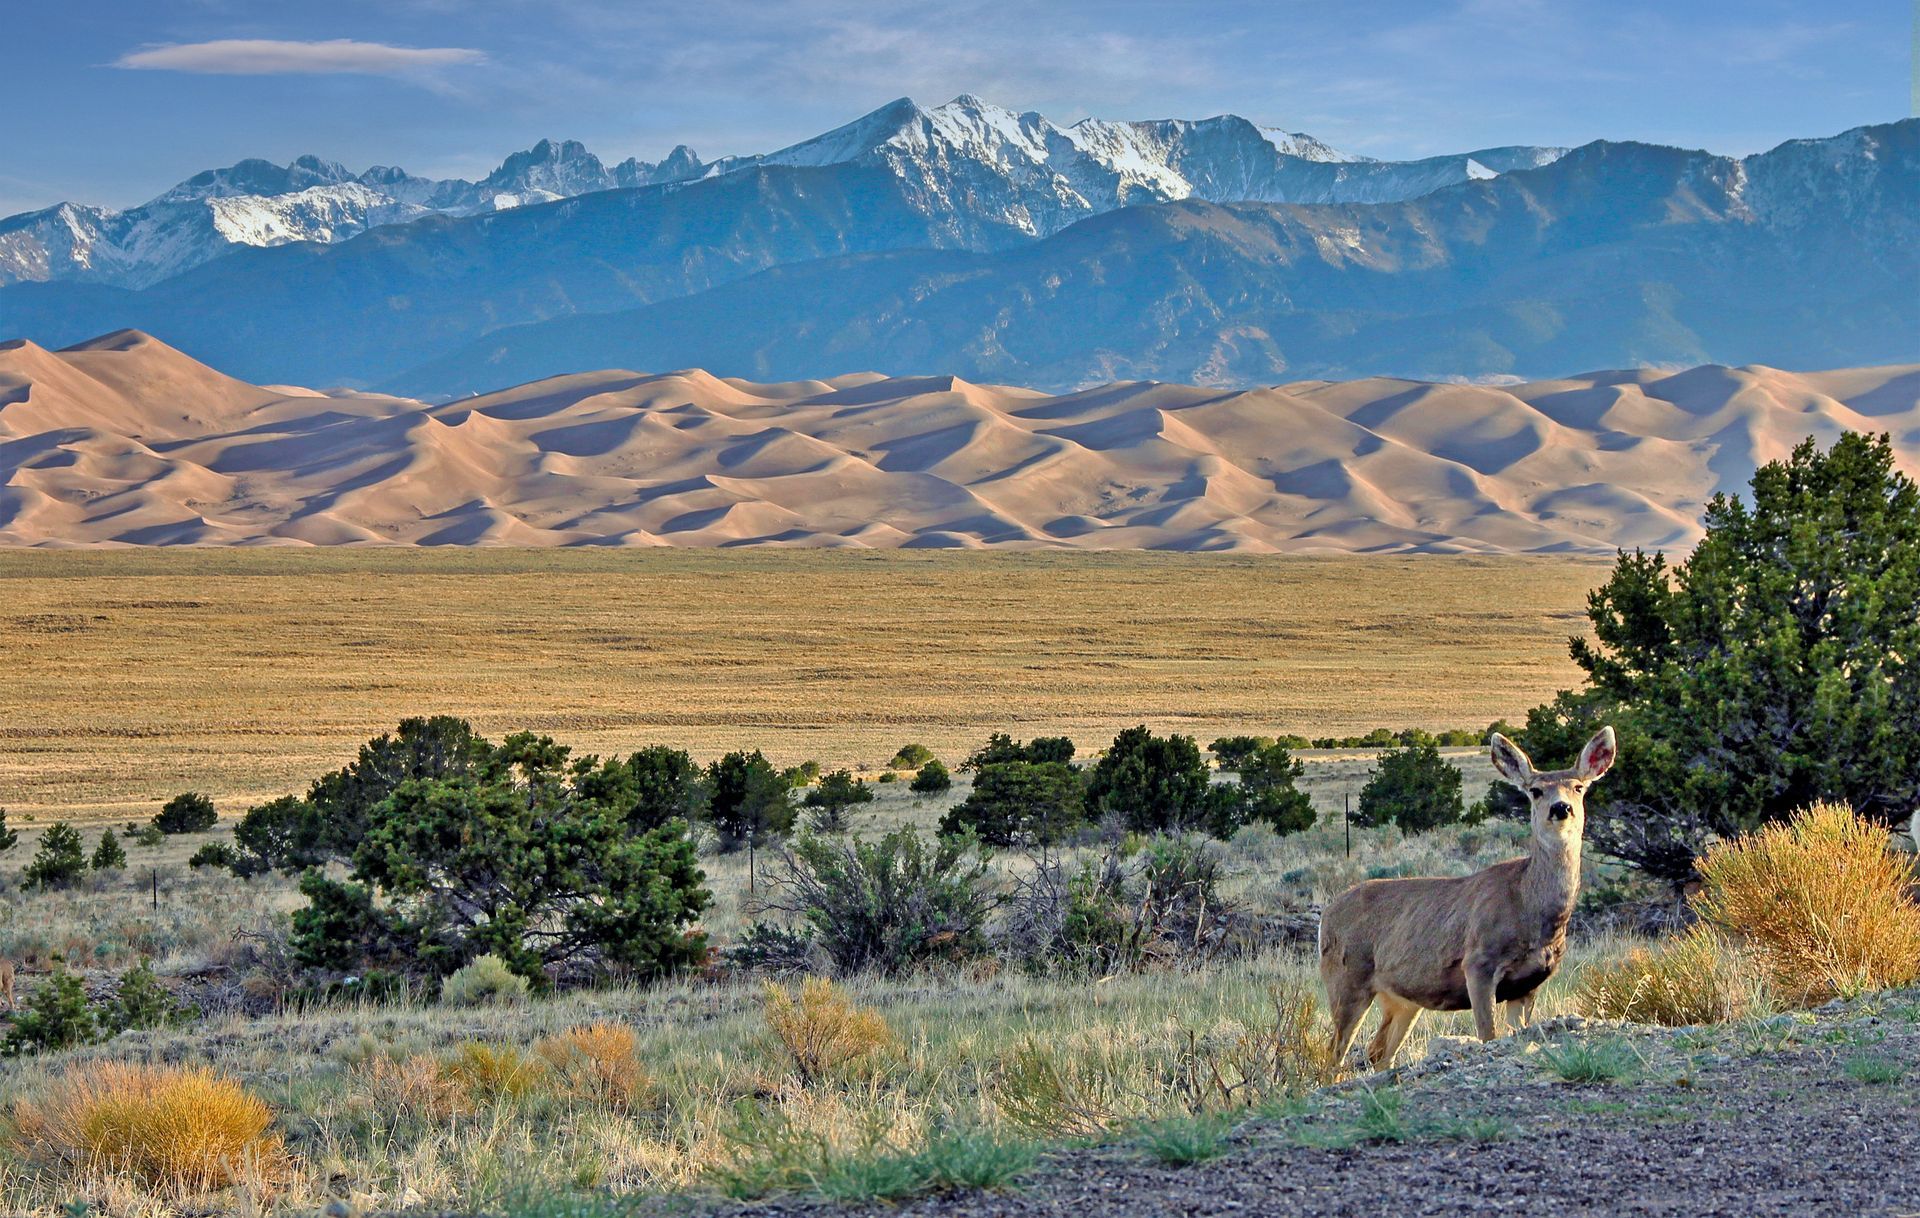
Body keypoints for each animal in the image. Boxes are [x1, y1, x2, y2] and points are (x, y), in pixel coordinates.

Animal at [1318, 726, 1616, 1071]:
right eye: (1536, 791)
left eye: (1579, 787)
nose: (1561, 808)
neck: (1528, 907)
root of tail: (1326, 915)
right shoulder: (1478, 963)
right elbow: (1488, 1035)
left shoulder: (1531, 982)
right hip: (1346, 978)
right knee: (1333, 1055)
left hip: (1402, 999)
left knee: (1379, 1051)